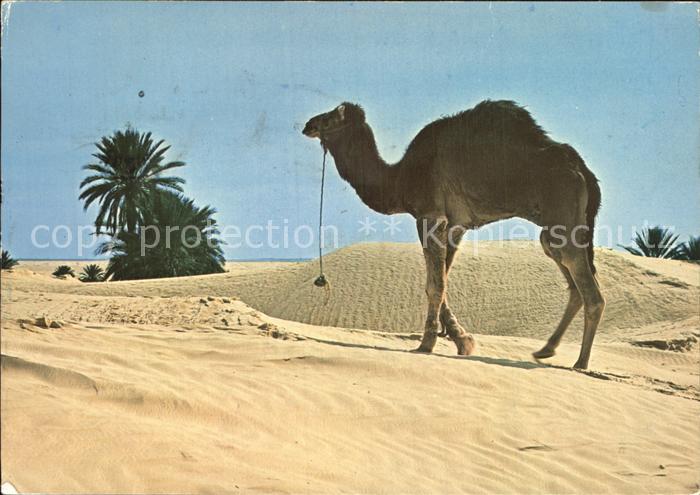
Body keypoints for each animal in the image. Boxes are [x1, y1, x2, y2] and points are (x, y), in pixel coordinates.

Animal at [302, 100, 604, 369]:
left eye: (330, 117)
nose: (308, 125)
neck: (400, 177)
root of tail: (583, 170)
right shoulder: (456, 226)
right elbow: (443, 278)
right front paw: (462, 340)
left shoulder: (429, 215)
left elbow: (434, 284)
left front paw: (427, 344)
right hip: (557, 229)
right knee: (569, 276)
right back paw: (546, 350)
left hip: (562, 215)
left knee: (589, 289)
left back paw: (580, 363)